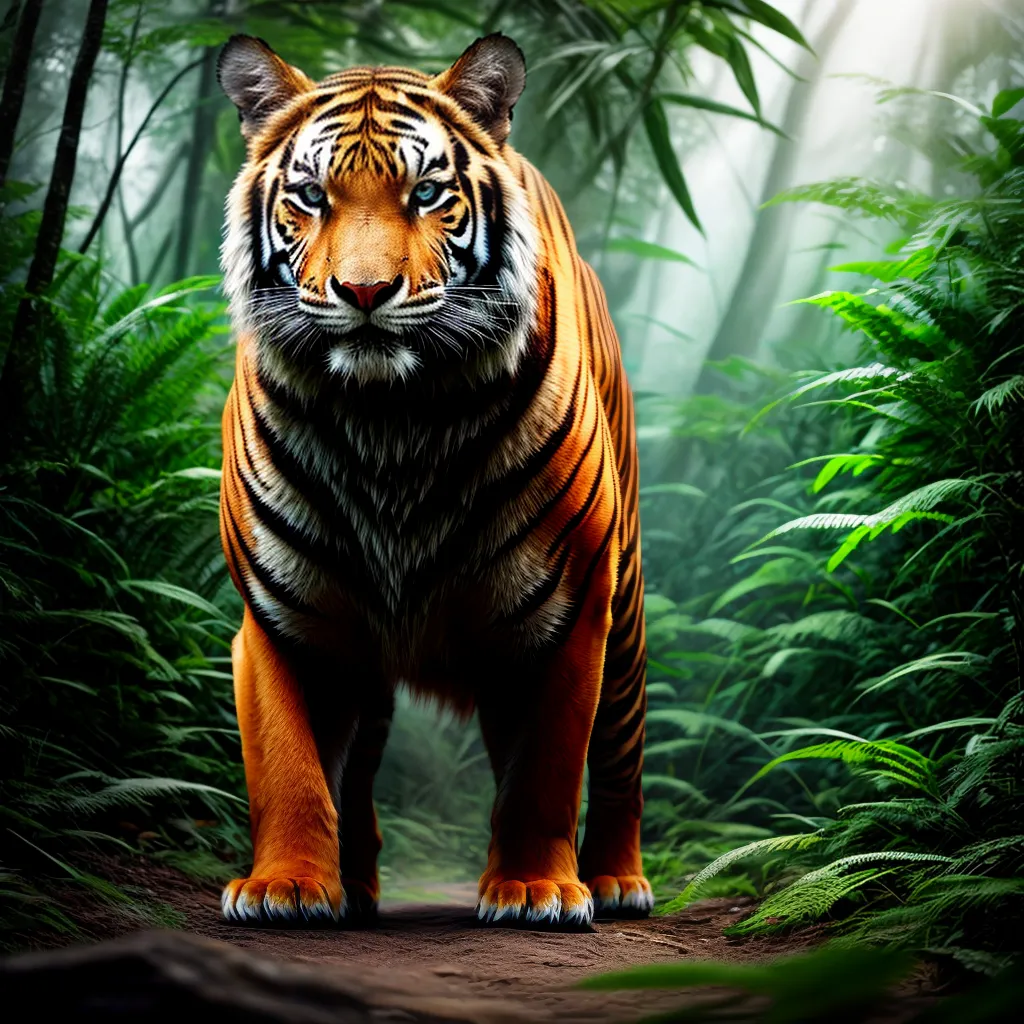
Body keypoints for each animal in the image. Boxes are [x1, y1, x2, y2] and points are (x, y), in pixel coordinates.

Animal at [216, 31, 649, 929]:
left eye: (425, 194)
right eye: (310, 196)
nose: (365, 292)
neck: (392, 423)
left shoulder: (572, 611)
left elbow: (549, 766)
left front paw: (535, 890)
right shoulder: (281, 615)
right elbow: (288, 763)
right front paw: (284, 886)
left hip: (622, 620)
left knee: (621, 754)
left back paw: (616, 880)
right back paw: (353, 889)